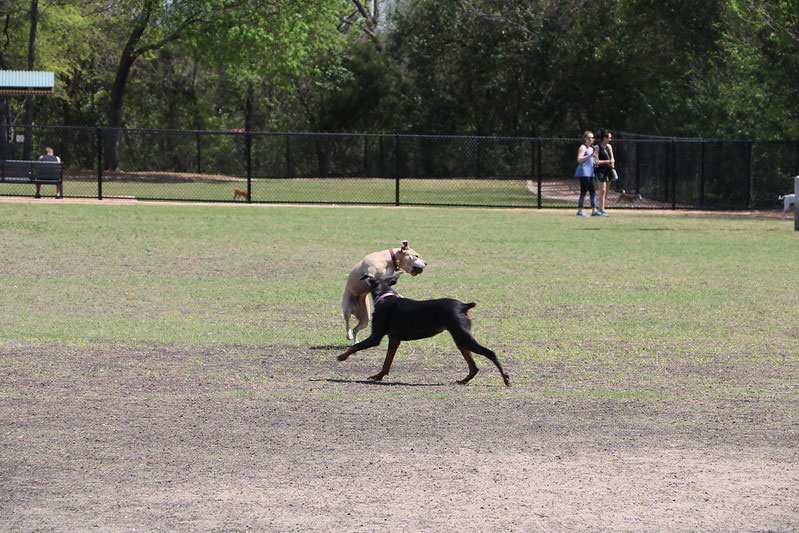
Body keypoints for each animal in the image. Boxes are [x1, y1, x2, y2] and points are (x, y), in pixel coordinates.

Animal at [338, 272, 512, 384]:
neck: (385, 295)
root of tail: (463, 305)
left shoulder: (375, 337)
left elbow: (355, 347)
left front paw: (341, 357)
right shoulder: (394, 339)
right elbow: (387, 362)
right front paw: (379, 376)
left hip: (463, 336)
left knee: (490, 353)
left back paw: (505, 378)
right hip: (459, 338)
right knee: (474, 366)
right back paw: (463, 380)